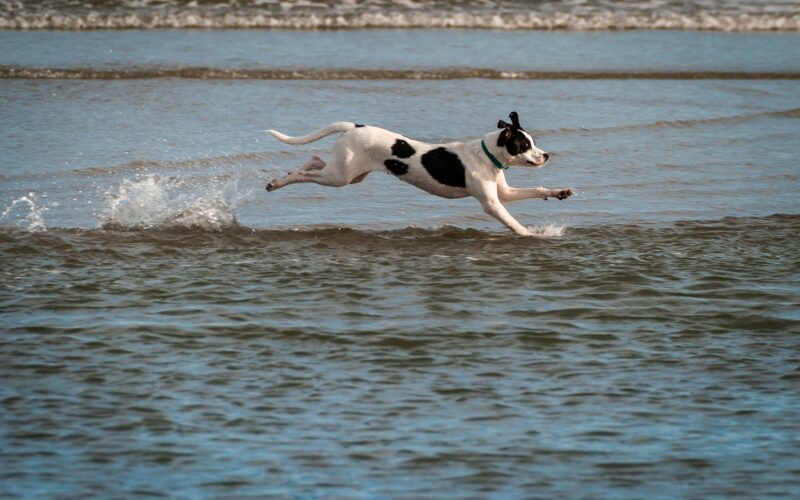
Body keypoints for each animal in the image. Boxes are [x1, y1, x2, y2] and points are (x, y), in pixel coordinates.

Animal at [266, 112, 572, 236]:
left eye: (533, 142)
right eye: (525, 145)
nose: (546, 155)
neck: (485, 155)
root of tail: (354, 126)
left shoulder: (504, 194)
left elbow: (536, 191)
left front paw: (559, 192)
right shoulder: (492, 204)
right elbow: (511, 221)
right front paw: (532, 234)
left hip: (349, 174)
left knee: (315, 160)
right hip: (340, 178)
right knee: (304, 176)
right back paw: (278, 182)